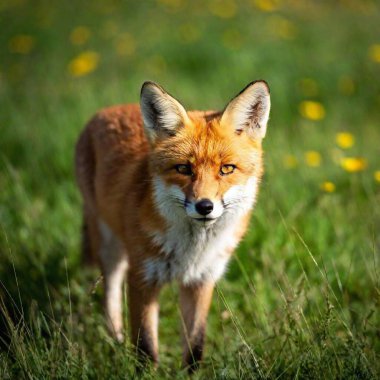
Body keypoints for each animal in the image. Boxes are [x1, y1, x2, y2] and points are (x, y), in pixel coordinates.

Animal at [74, 81, 270, 372]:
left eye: (226, 169)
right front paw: (144, 374)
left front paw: (191, 375)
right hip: (111, 249)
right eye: (183, 169)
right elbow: (145, 345)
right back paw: (116, 339)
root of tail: (108, 110)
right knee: (110, 294)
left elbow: (195, 345)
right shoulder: (142, 278)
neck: (191, 251)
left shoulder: (201, 280)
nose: (204, 206)